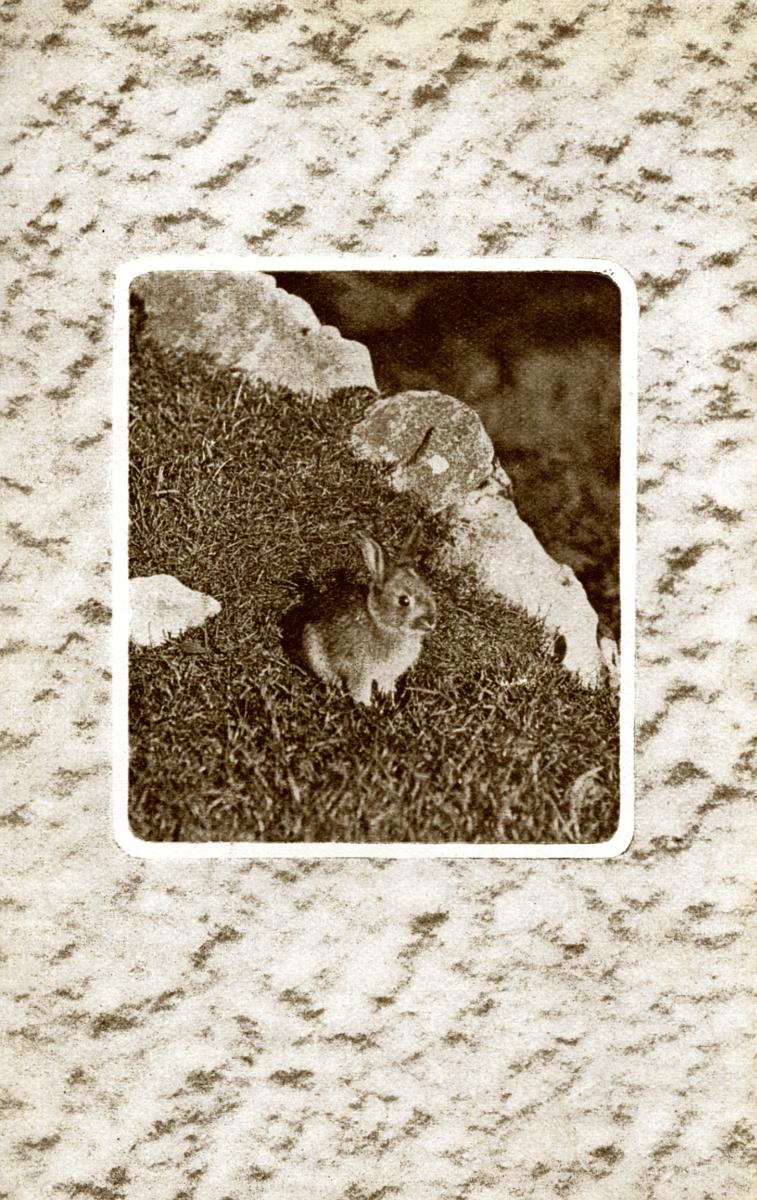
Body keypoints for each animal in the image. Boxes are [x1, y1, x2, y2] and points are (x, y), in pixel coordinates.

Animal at [302, 526, 437, 706]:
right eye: (404, 600)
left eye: (428, 590)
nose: (431, 621)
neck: (383, 624)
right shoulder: (359, 670)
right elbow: (360, 689)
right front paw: (366, 706)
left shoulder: (388, 672)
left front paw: (387, 695)